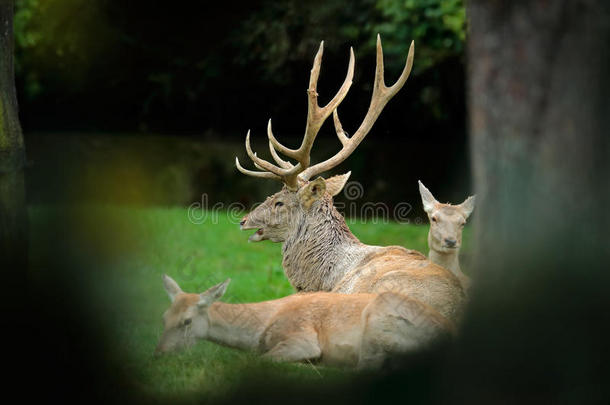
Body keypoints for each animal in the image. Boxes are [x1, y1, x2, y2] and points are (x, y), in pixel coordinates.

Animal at [156, 274, 452, 368]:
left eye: (186, 321)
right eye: (164, 318)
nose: (159, 353)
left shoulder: (302, 337)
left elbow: (259, 360)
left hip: (377, 326)